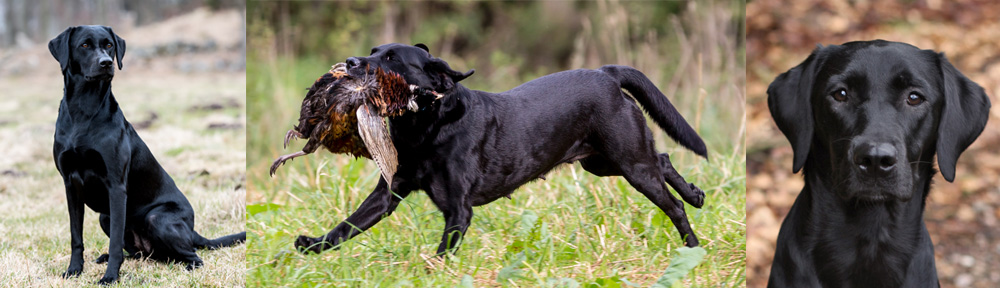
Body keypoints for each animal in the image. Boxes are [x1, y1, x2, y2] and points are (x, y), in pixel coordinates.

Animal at [51, 25, 247, 284]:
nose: (106, 63)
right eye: (84, 45)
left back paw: (187, 266)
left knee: (193, 255)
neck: (84, 110)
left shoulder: (116, 186)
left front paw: (110, 277)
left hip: (157, 218)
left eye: (109, 45)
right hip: (105, 217)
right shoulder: (70, 185)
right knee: (143, 253)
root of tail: (193, 231)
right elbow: (76, 237)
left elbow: (115, 242)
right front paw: (74, 270)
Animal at [292, 42, 708, 254]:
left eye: (391, 58)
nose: (349, 61)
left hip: (629, 163)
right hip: (604, 161)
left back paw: (692, 243)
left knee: (673, 204)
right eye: (373, 49)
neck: (425, 127)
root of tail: (606, 73)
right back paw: (697, 194)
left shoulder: (458, 211)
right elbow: (346, 226)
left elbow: (441, 253)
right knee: (663, 159)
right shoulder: (388, 193)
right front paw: (308, 246)